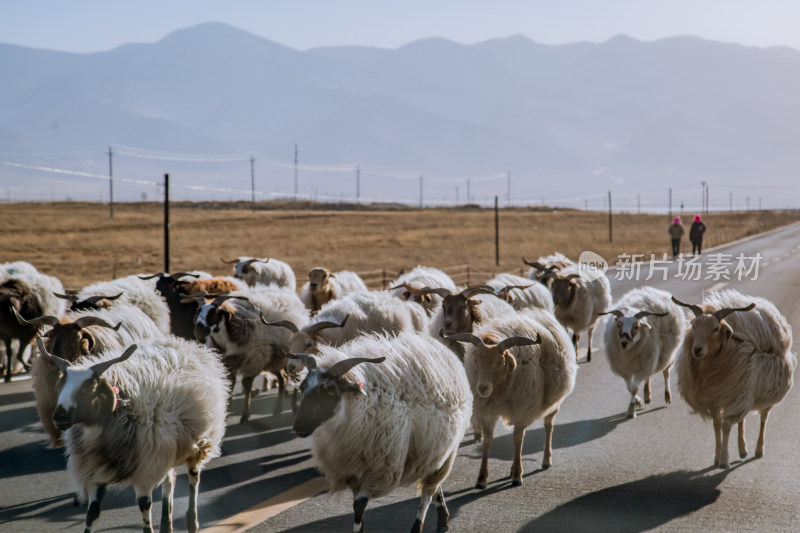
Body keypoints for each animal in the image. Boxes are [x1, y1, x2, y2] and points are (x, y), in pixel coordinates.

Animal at [39, 336, 230, 532]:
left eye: (87, 389)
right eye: (61, 386)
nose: (59, 417)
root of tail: (189, 345)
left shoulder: (144, 473)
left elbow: (145, 507)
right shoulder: (96, 472)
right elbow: (91, 515)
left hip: (198, 445)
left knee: (193, 479)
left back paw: (192, 521)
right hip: (166, 450)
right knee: (171, 479)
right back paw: (166, 524)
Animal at [288, 330, 472, 528]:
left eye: (330, 391)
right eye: (303, 388)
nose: (298, 426)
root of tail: (441, 349)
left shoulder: (376, 470)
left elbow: (359, 507)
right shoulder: (353, 471)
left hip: (448, 450)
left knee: (428, 492)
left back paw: (418, 525)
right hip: (431, 451)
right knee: (433, 485)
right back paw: (443, 518)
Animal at [446, 308, 580, 486]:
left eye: (500, 362)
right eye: (476, 360)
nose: (482, 388)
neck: (499, 390)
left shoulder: (521, 411)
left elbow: (518, 440)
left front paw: (517, 475)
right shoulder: (488, 412)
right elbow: (488, 441)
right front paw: (482, 478)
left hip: (553, 403)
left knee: (548, 427)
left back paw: (546, 460)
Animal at [604, 286, 684, 416]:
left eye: (636, 327)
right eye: (619, 325)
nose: (624, 343)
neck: (628, 353)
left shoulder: (642, 366)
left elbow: (634, 388)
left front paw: (631, 409)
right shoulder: (625, 370)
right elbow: (630, 388)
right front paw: (638, 401)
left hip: (667, 356)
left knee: (666, 373)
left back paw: (667, 396)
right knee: (649, 375)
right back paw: (647, 395)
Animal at [676, 288, 792, 468]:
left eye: (715, 329)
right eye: (693, 326)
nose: (697, 350)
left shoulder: (734, 395)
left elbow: (725, 426)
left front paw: (724, 460)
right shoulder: (715, 398)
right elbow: (717, 425)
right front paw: (717, 458)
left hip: (763, 391)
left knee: (763, 418)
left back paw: (759, 449)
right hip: (743, 392)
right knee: (741, 419)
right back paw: (742, 449)